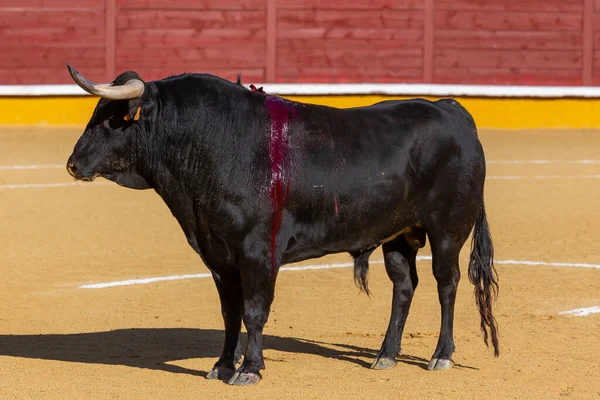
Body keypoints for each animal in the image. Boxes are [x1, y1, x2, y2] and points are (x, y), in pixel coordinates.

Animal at [65, 64, 500, 386]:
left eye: (114, 120)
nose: (73, 164)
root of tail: (451, 109)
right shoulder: (217, 253)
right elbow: (230, 312)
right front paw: (222, 366)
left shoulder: (258, 251)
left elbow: (255, 310)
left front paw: (249, 369)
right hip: (398, 235)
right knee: (404, 284)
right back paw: (385, 355)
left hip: (448, 230)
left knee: (447, 283)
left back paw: (441, 356)